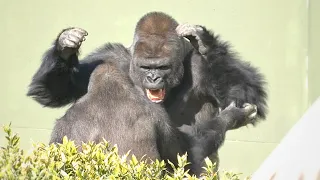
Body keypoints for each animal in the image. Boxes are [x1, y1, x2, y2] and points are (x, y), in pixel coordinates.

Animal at [26, 11, 268, 174]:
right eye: (145, 67)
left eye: (162, 67)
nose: (153, 78)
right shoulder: (107, 56)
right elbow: (57, 91)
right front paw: (65, 45)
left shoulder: (200, 67)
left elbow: (244, 93)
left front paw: (205, 42)